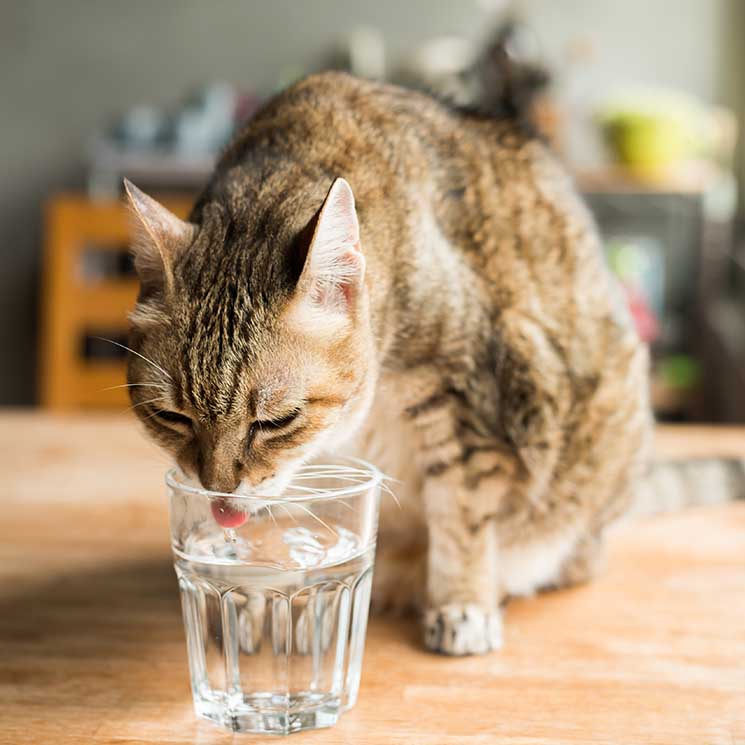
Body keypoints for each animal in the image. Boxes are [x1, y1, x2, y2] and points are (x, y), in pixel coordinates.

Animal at [126, 70, 652, 652]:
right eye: (171, 417)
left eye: (277, 421)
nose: (216, 491)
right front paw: (257, 602)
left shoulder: (464, 393)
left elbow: (462, 514)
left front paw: (463, 603)